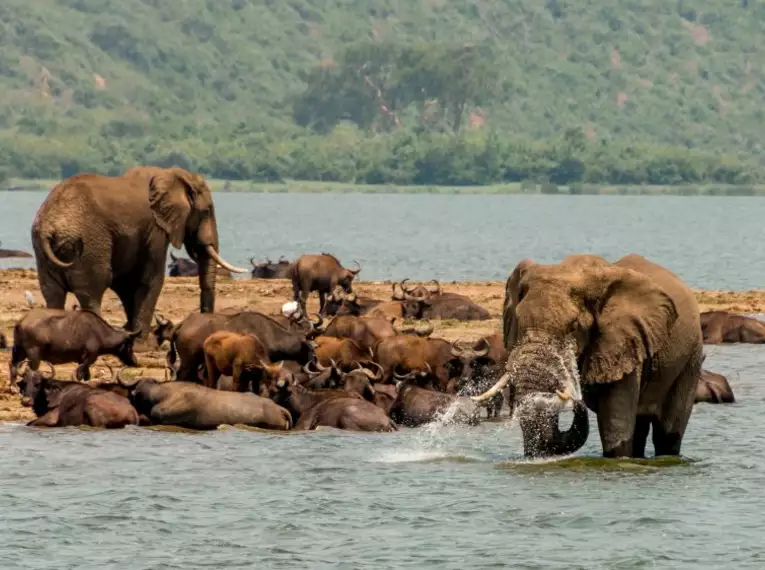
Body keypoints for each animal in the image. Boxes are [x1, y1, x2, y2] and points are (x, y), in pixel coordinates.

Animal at [11, 308, 141, 384]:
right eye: (130, 344)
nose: (135, 362)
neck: (100, 332)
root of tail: (21, 321)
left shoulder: (82, 360)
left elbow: (86, 376)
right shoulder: (89, 357)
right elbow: (80, 374)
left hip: (19, 351)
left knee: (13, 365)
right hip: (34, 354)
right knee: (30, 370)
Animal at [29, 166, 245, 348]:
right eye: (206, 211)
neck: (171, 174)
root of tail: (49, 227)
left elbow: (128, 283)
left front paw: (134, 336)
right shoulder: (155, 230)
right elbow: (150, 279)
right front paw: (144, 344)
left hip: (42, 250)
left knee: (53, 294)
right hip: (88, 244)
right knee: (92, 291)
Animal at [472, 253, 704, 458]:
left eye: (574, 327)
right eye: (518, 322)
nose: (577, 401)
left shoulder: (623, 343)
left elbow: (615, 429)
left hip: (691, 357)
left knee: (667, 434)